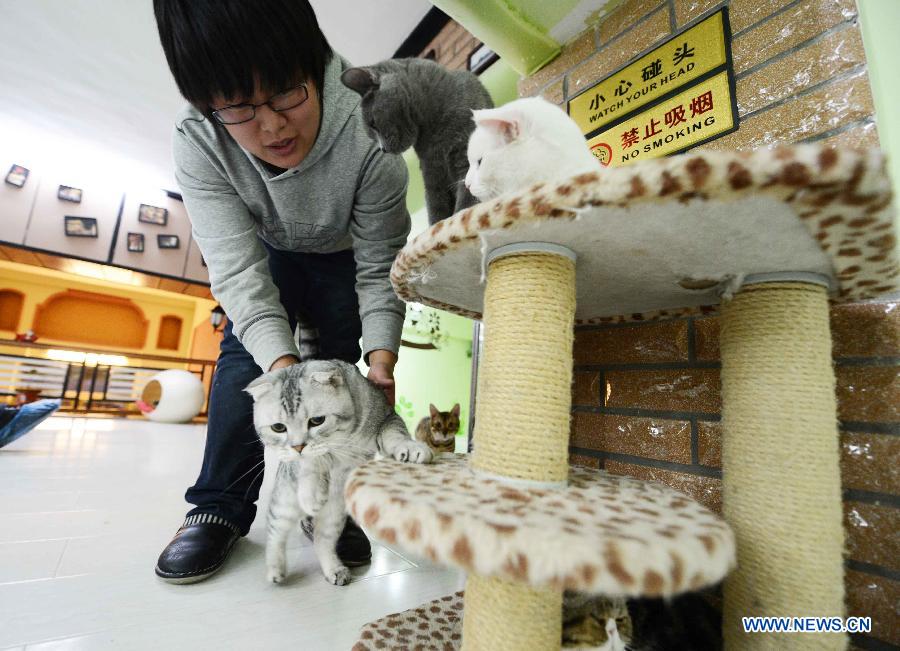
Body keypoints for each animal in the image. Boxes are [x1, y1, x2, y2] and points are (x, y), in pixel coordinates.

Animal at [244, 360, 430, 588]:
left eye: (317, 420)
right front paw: (312, 492)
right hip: (285, 504)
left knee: (321, 540)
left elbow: (395, 433)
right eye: (278, 427)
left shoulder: (386, 416)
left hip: (333, 514)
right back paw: (275, 568)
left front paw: (410, 448)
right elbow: (314, 460)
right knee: (275, 531)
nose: (297, 447)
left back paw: (334, 569)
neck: (346, 437)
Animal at [342, 59, 492, 227]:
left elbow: (467, 197)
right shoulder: (431, 172)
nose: (382, 149)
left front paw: (459, 220)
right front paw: (437, 228)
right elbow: (435, 207)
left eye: (373, 124)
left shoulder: (466, 158)